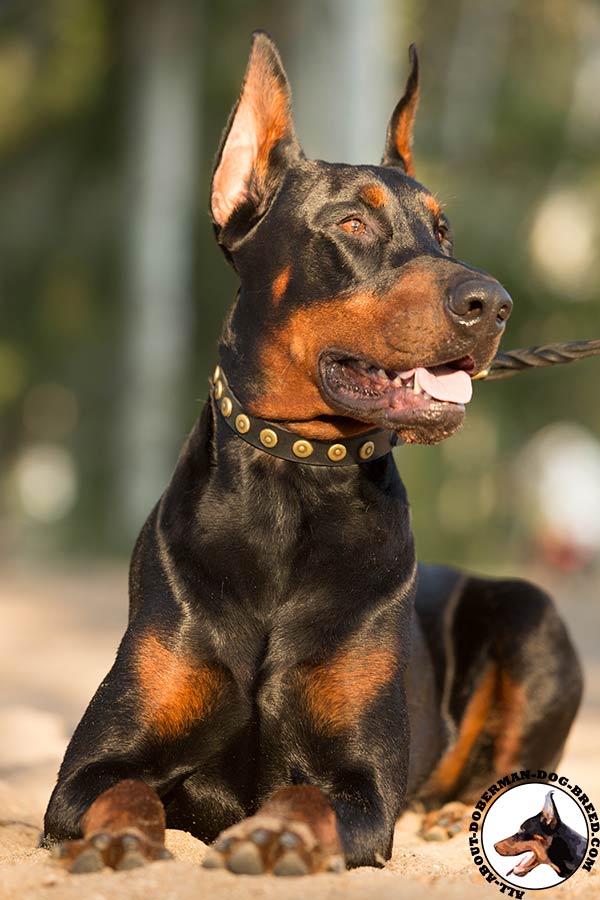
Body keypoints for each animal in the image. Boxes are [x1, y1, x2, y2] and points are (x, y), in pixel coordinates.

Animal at [44, 31, 584, 876]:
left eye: (443, 231)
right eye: (353, 225)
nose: (493, 304)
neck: (294, 482)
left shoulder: (360, 781)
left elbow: (308, 797)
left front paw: (278, 834)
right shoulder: (86, 768)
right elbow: (119, 789)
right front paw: (123, 836)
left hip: (534, 614)